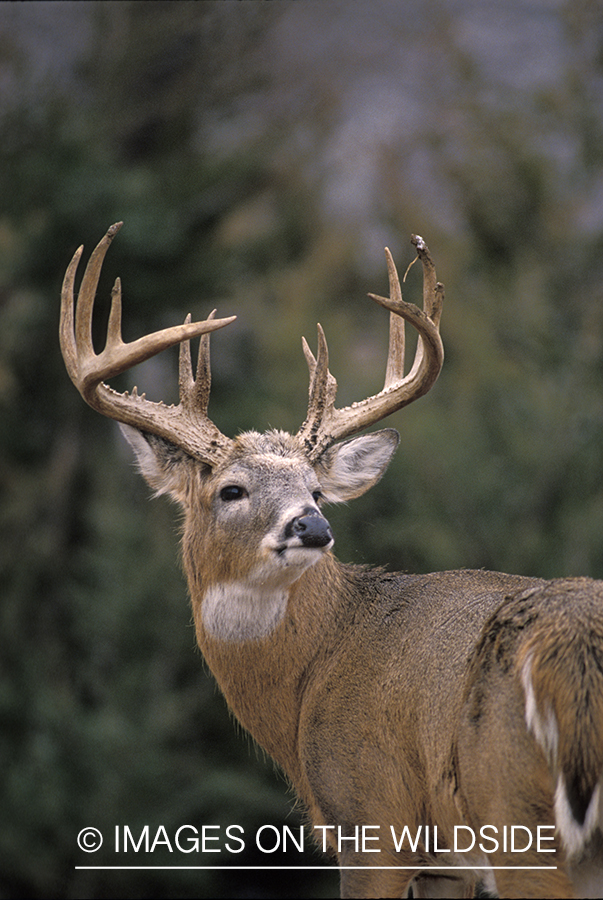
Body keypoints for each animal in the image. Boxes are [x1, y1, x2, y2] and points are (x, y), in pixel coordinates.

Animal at [60, 222, 603, 899]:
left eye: (315, 490)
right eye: (231, 490)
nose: (313, 525)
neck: (321, 663)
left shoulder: (371, 819)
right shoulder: (444, 862)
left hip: (516, 817)